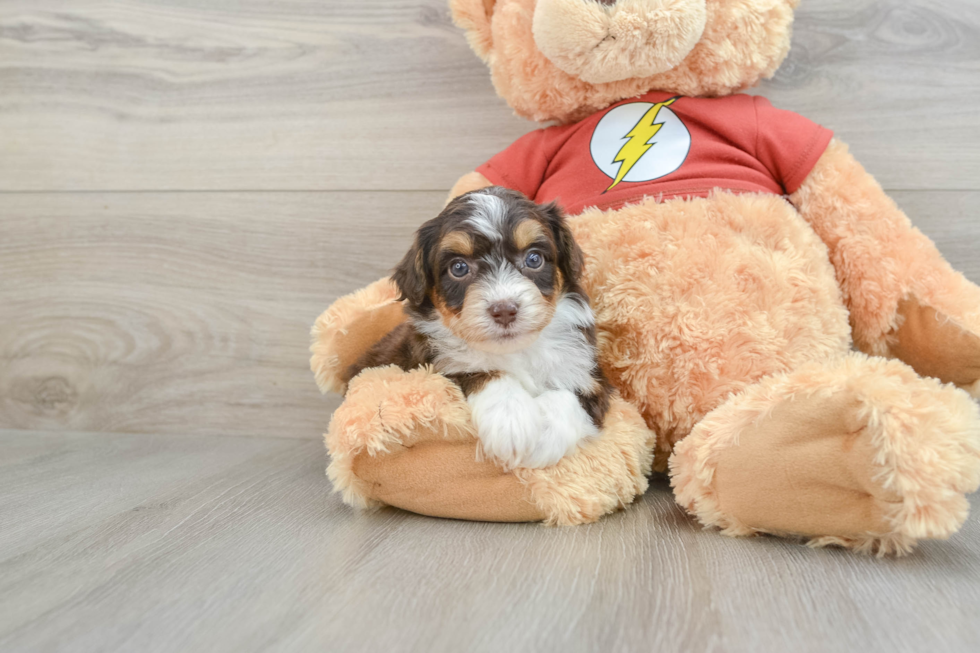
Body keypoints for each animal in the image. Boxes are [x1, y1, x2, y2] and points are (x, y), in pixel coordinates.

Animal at [348, 186, 608, 466]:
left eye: (534, 259)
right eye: (459, 267)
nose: (504, 310)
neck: (516, 351)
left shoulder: (590, 375)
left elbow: (570, 396)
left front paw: (544, 437)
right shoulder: (432, 367)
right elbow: (479, 372)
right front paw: (511, 421)